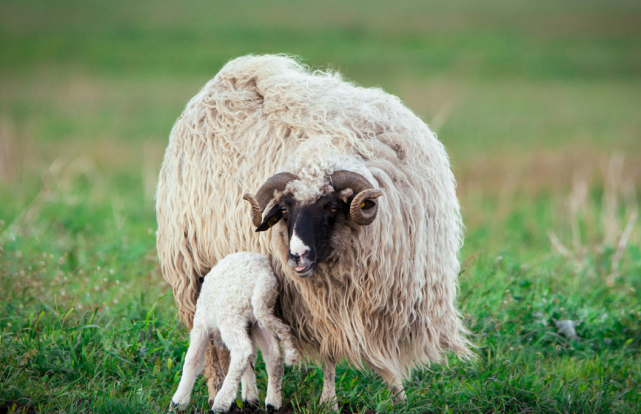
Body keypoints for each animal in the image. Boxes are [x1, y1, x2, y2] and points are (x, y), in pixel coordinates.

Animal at [168, 252, 298, 414]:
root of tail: (263, 277)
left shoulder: (200, 325)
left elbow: (193, 360)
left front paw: (178, 402)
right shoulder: (247, 326)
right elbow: (250, 361)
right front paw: (250, 397)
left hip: (231, 314)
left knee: (242, 351)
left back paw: (220, 403)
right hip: (260, 314)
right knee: (271, 354)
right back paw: (273, 402)